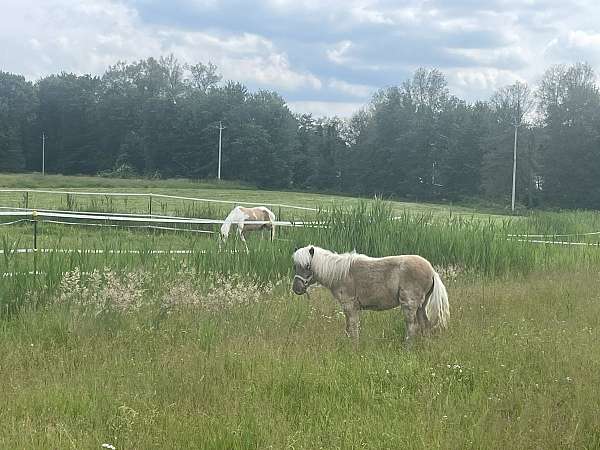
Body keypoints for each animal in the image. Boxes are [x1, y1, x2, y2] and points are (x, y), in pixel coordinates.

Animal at [290, 246, 450, 344]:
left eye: (308, 266)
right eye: (295, 266)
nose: (296, 288)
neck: (340, 273)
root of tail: (431, 270)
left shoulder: (350, 306)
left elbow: (353, 327)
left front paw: (353, 348)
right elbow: (348, 327)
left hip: (410, 305)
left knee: (412, 327)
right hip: (421, 306)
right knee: (425, 325)